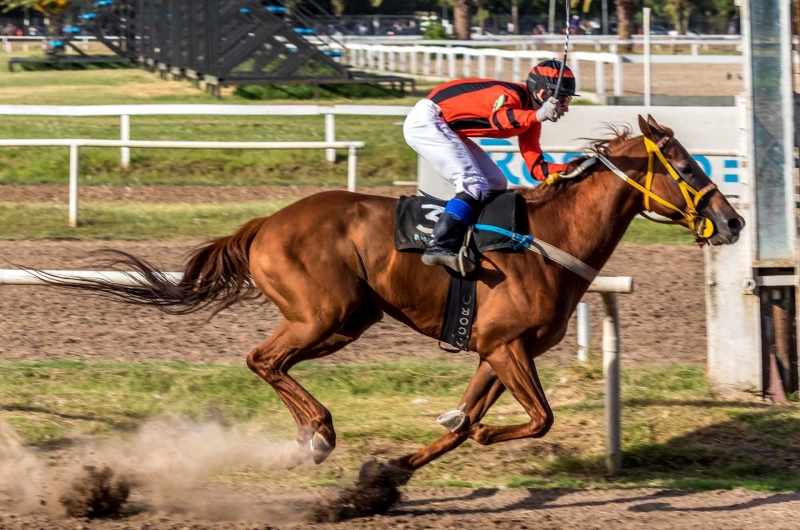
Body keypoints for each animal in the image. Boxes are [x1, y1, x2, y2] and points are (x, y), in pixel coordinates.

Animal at [39, 116, 744, 508]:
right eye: (685, 165)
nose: (733, 221)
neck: (550, 238)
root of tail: (267, 222)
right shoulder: (506, 346)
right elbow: (536, 420)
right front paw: (468, 440)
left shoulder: (495, 351)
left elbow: (463, 424)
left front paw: (386, 474)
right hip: (325, 315)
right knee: (263, 359)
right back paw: (318, 432)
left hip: (348, 320)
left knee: (269, 362)